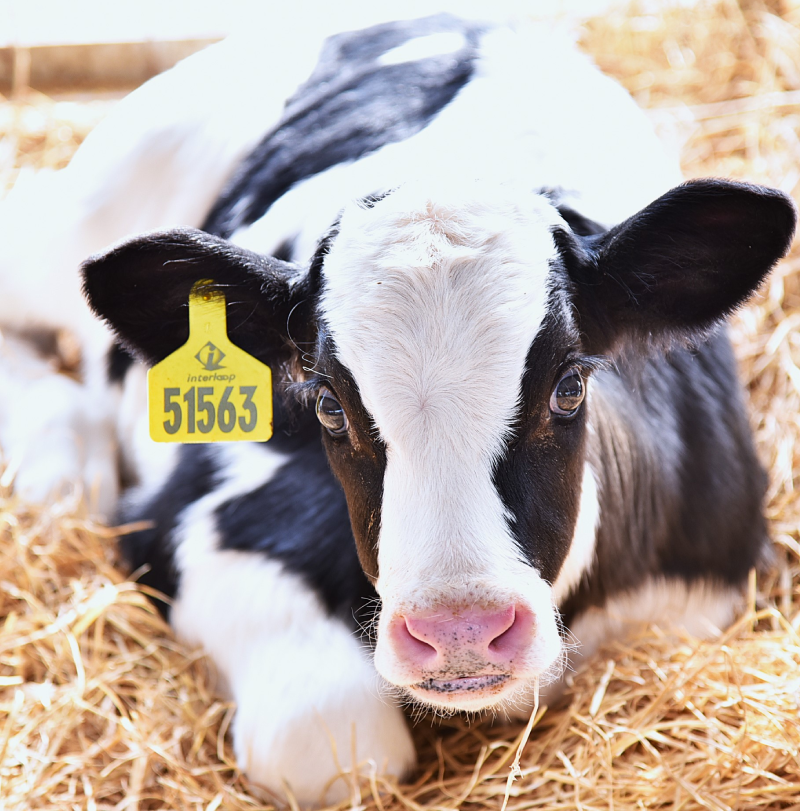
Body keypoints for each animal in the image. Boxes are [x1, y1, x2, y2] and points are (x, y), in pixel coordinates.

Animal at [2, 12, 797, 808]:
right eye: (327, 403)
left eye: (569, 385)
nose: (461, 632)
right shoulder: (199, 518)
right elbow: (329, 738)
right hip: (103, 194)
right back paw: (59, 465)